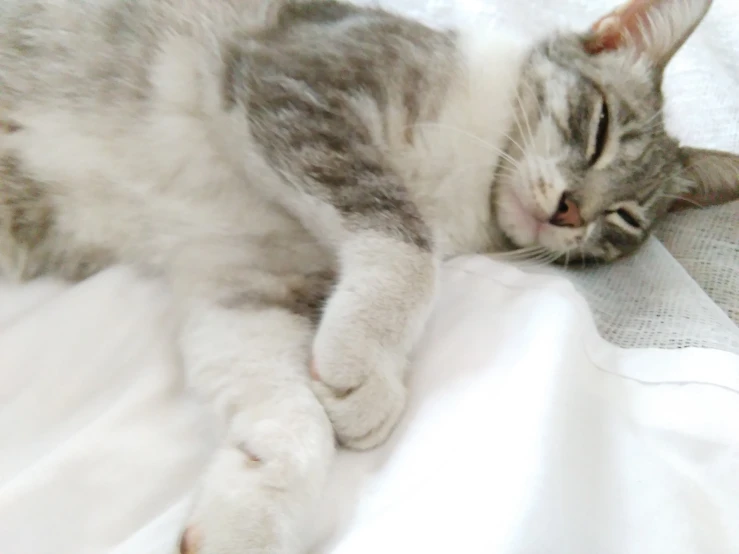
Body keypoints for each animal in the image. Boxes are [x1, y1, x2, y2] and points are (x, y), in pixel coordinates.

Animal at [0, 0, 736, 548]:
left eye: (625, 219)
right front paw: (368, 364)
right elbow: (407, 245)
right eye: (600, 126)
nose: (569, 211)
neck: (466, 183)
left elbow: (282, 403)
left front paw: (253, 507)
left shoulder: (246, 272)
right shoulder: (293, 84)